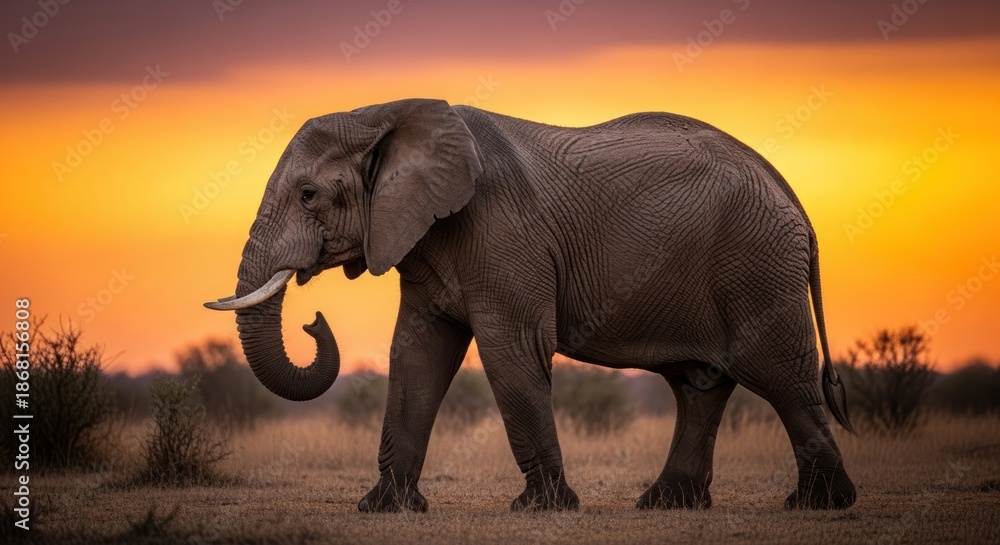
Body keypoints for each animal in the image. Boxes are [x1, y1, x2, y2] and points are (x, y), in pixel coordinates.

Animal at [205, 98, 857, 512]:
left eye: (309, 194)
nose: (313, 319)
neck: (385, 114)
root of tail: (793, 199)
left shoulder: (501, 233)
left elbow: (510, 353)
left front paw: (542, 509)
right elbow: (417, 356)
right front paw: (384, 509)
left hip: (759, 269)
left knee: (783, 379)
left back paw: (816, 507)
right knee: (700, 385)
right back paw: (664, 505)